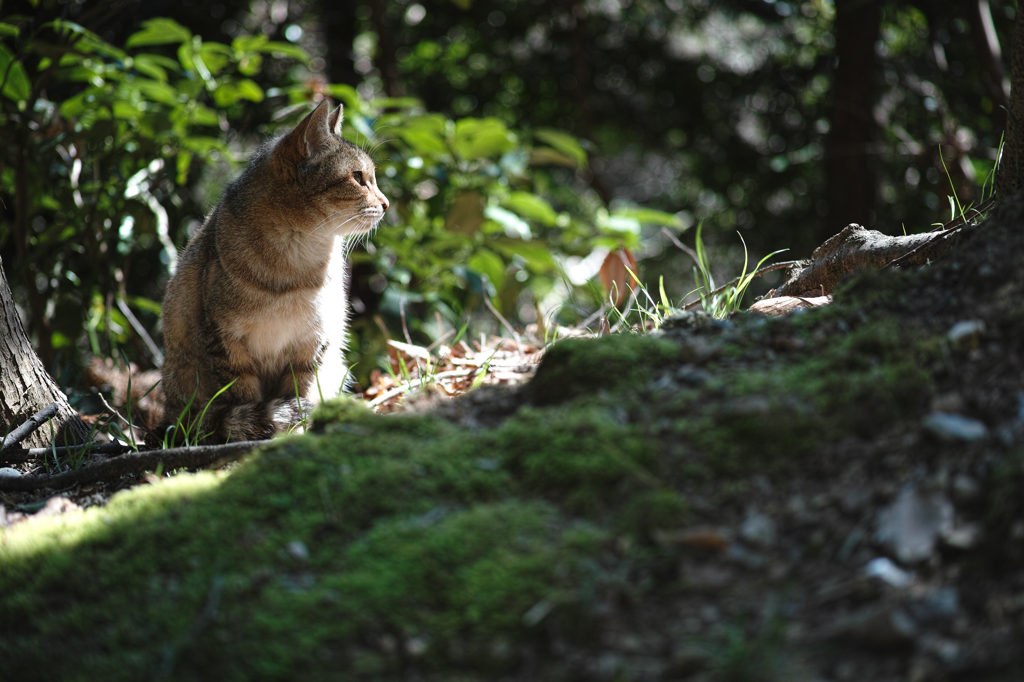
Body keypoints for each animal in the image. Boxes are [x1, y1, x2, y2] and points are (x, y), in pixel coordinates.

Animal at [159, 99, 387, 440]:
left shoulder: (314, 340)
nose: (386, 204)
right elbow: (245, 396)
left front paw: (300, 426)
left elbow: (301, 390)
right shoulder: (226, 343)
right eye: (359, 177)